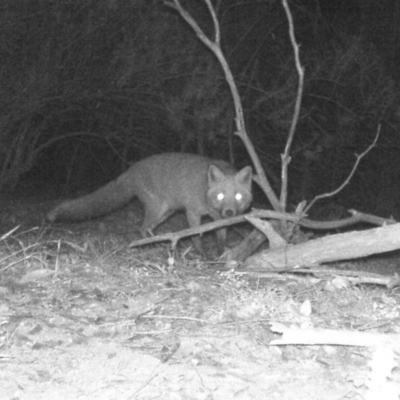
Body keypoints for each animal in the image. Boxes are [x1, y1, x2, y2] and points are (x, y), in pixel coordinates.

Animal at [47, 153, 252, 253]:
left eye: (238, 197)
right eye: (220, 196)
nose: (229, 213)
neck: (204, 189)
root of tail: (132, 169)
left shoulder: (218, 219)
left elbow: (221, 238)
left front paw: (220, 253)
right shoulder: (192, 212)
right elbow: (196, 236)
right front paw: (202, 256)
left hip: (166, 212)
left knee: (147, 229)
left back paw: (159, 245)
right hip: (158, 209)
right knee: (143, 228)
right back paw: (156, 246)